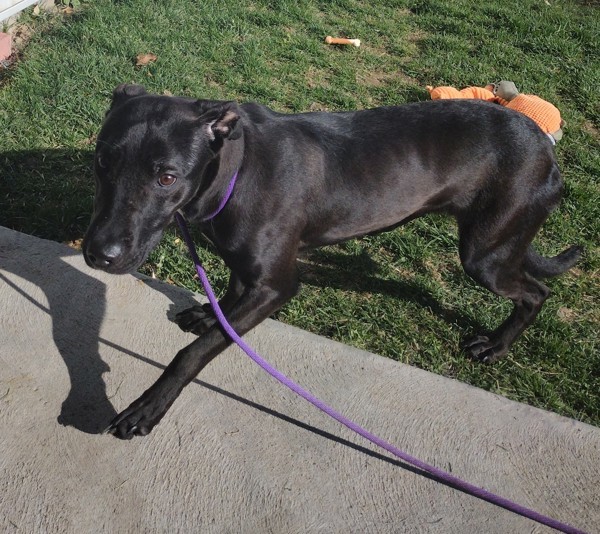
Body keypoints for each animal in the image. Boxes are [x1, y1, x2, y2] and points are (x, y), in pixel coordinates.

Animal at [82, 86, 580, 442]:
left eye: (167, 177)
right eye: (102, 160)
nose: (99, 254)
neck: (234, 173)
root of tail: (546, 148)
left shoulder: (277, 287)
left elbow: (194, 353)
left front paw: (149, 406)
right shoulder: (245, 268)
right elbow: (227, 299)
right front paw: (210, 313)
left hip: (486, 254)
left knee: (536, 292)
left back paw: (496, 345)